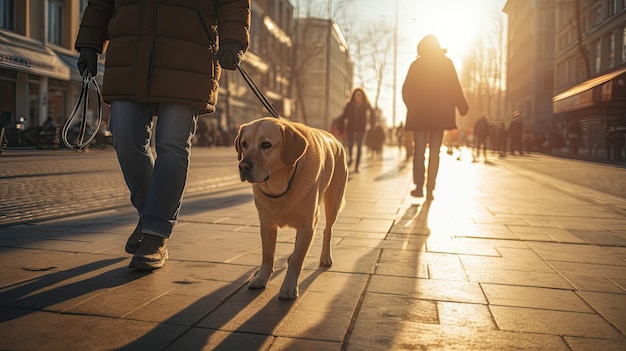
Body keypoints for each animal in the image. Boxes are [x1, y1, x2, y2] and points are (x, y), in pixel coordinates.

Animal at [235, 117, 348, 300]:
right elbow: (267, 255)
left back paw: (325, 257)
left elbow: (297, 261)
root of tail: (335, 138)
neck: (280, 186)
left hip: (334, 202)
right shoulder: (266, 224)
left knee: (328, 230)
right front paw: (261, 278)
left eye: (266, 145)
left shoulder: (307, 226)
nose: (243, 166)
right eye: (244, 144)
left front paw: (288, 287)